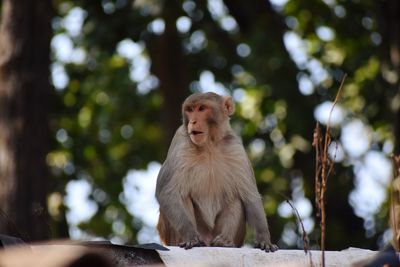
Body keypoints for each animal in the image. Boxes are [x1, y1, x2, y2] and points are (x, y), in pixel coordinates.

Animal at [155, 92, 276, 253]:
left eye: (201, 108)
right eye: (190, 110)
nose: (192, 121)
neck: (209, 144)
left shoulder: (235, 147)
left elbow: (250, 196)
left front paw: (264, 239)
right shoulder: (180, 142)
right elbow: (167, 192)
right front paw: (190, 236)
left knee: (235, 197)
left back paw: (224, 241)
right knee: (182, 196)